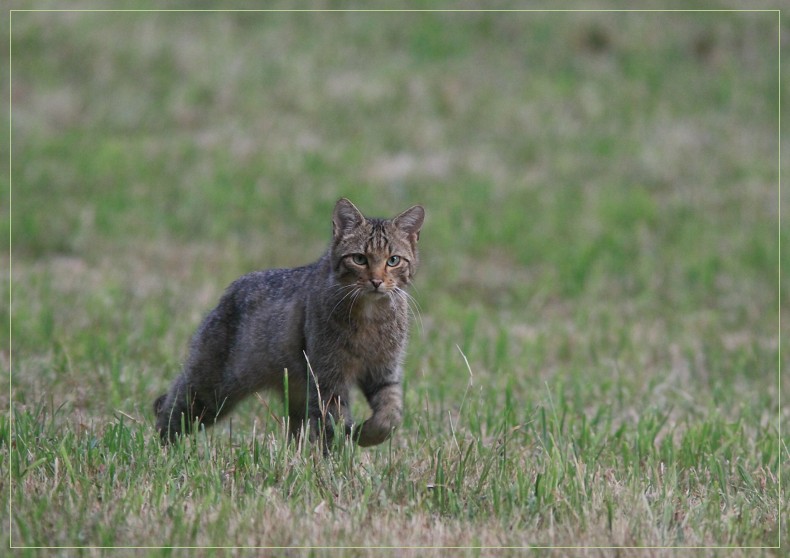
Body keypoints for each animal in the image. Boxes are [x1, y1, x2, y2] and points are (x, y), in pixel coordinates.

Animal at [155, 198, 426, 450]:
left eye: (393, 260)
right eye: (359, 259)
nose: (376, 281)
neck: (371, 314)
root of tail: (226, 296)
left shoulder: (383, 372)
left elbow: (390, 416)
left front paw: (366, 434)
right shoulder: (328, 379)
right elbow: (333, 424)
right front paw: (336, 460)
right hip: (211, 389)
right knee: (170, 409)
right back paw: (165, 449)